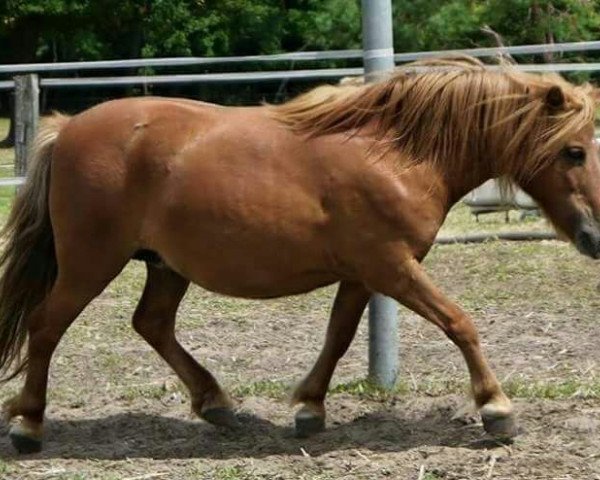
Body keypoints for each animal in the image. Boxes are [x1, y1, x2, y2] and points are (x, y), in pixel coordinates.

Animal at [1, 58, 600, 452]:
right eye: (574, 151)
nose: (596, 236)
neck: (398, 155)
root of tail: (67, 130)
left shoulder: (364, 274)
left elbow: (338, 337)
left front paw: (310, 409)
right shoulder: (392, 267)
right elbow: (460, 323)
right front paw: (497, 409)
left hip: (164, 265)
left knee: (151, 323)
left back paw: (217, 404)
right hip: (91, 262)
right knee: (46, 325)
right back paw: (28, 426)